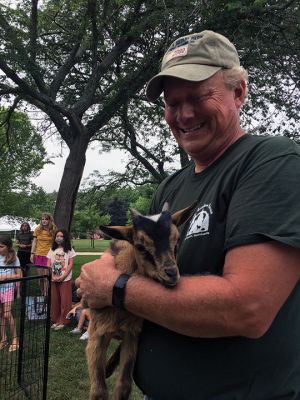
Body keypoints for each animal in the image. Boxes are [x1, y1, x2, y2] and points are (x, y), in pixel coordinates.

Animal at [85, 203, 196, 400]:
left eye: (177, 241)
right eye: (141, 246)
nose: (171, 274)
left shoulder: (132, 334)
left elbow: (124, 386)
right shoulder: (96, 334)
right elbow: (98, 391)